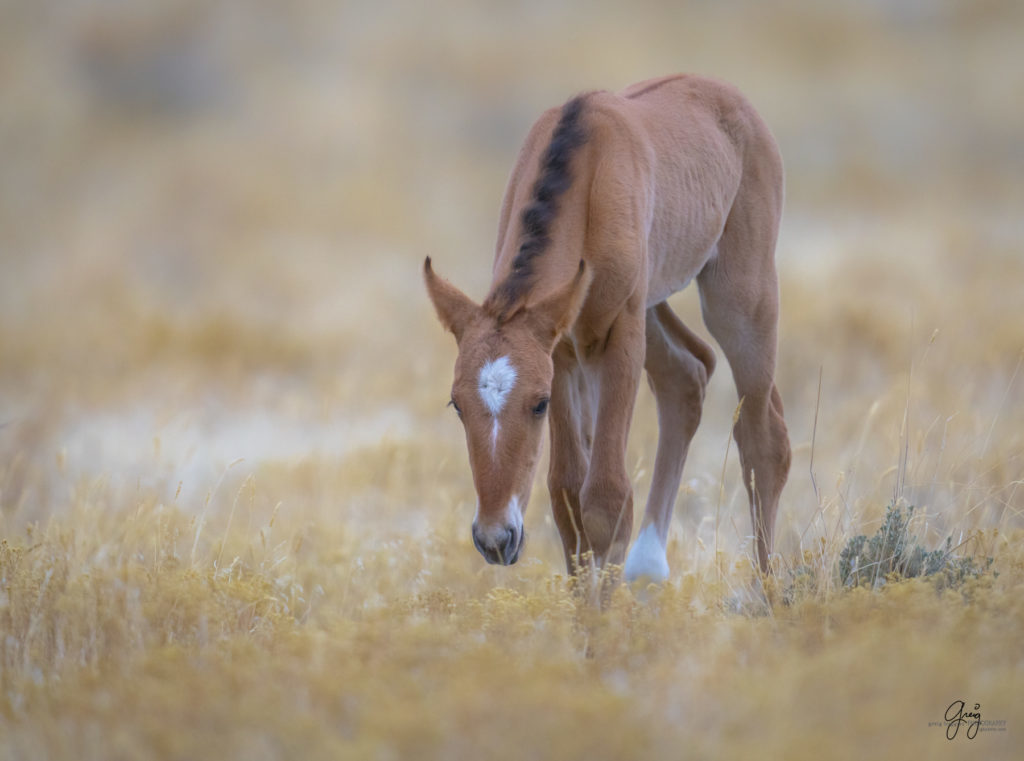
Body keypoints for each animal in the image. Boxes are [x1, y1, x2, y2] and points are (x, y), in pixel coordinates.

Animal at [423, 74, 790, 581]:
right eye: (456, 404)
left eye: (537, 404)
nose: (496, 539)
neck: (588, 170)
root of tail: (731, 99)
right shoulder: (563, 350)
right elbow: (567, 497)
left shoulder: (617, 337)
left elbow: (605, 499)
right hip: (651, 308)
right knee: (687, 374)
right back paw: (648, 570)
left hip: (736, 301)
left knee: (764, 437)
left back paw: (763, 591)